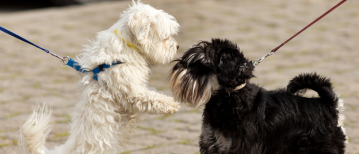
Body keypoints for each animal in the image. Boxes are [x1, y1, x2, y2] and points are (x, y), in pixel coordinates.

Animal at [19, 0, 181, 153]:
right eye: (166, 37)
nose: (178, 46)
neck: (126, 46)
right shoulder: (131, 92)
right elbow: (151, 98)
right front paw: (172, 105)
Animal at [170, 38, 348, 153]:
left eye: (202, 64)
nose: (178, 67)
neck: (230, 97)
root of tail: (329, 104)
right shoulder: (213, 144)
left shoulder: (243, 147)